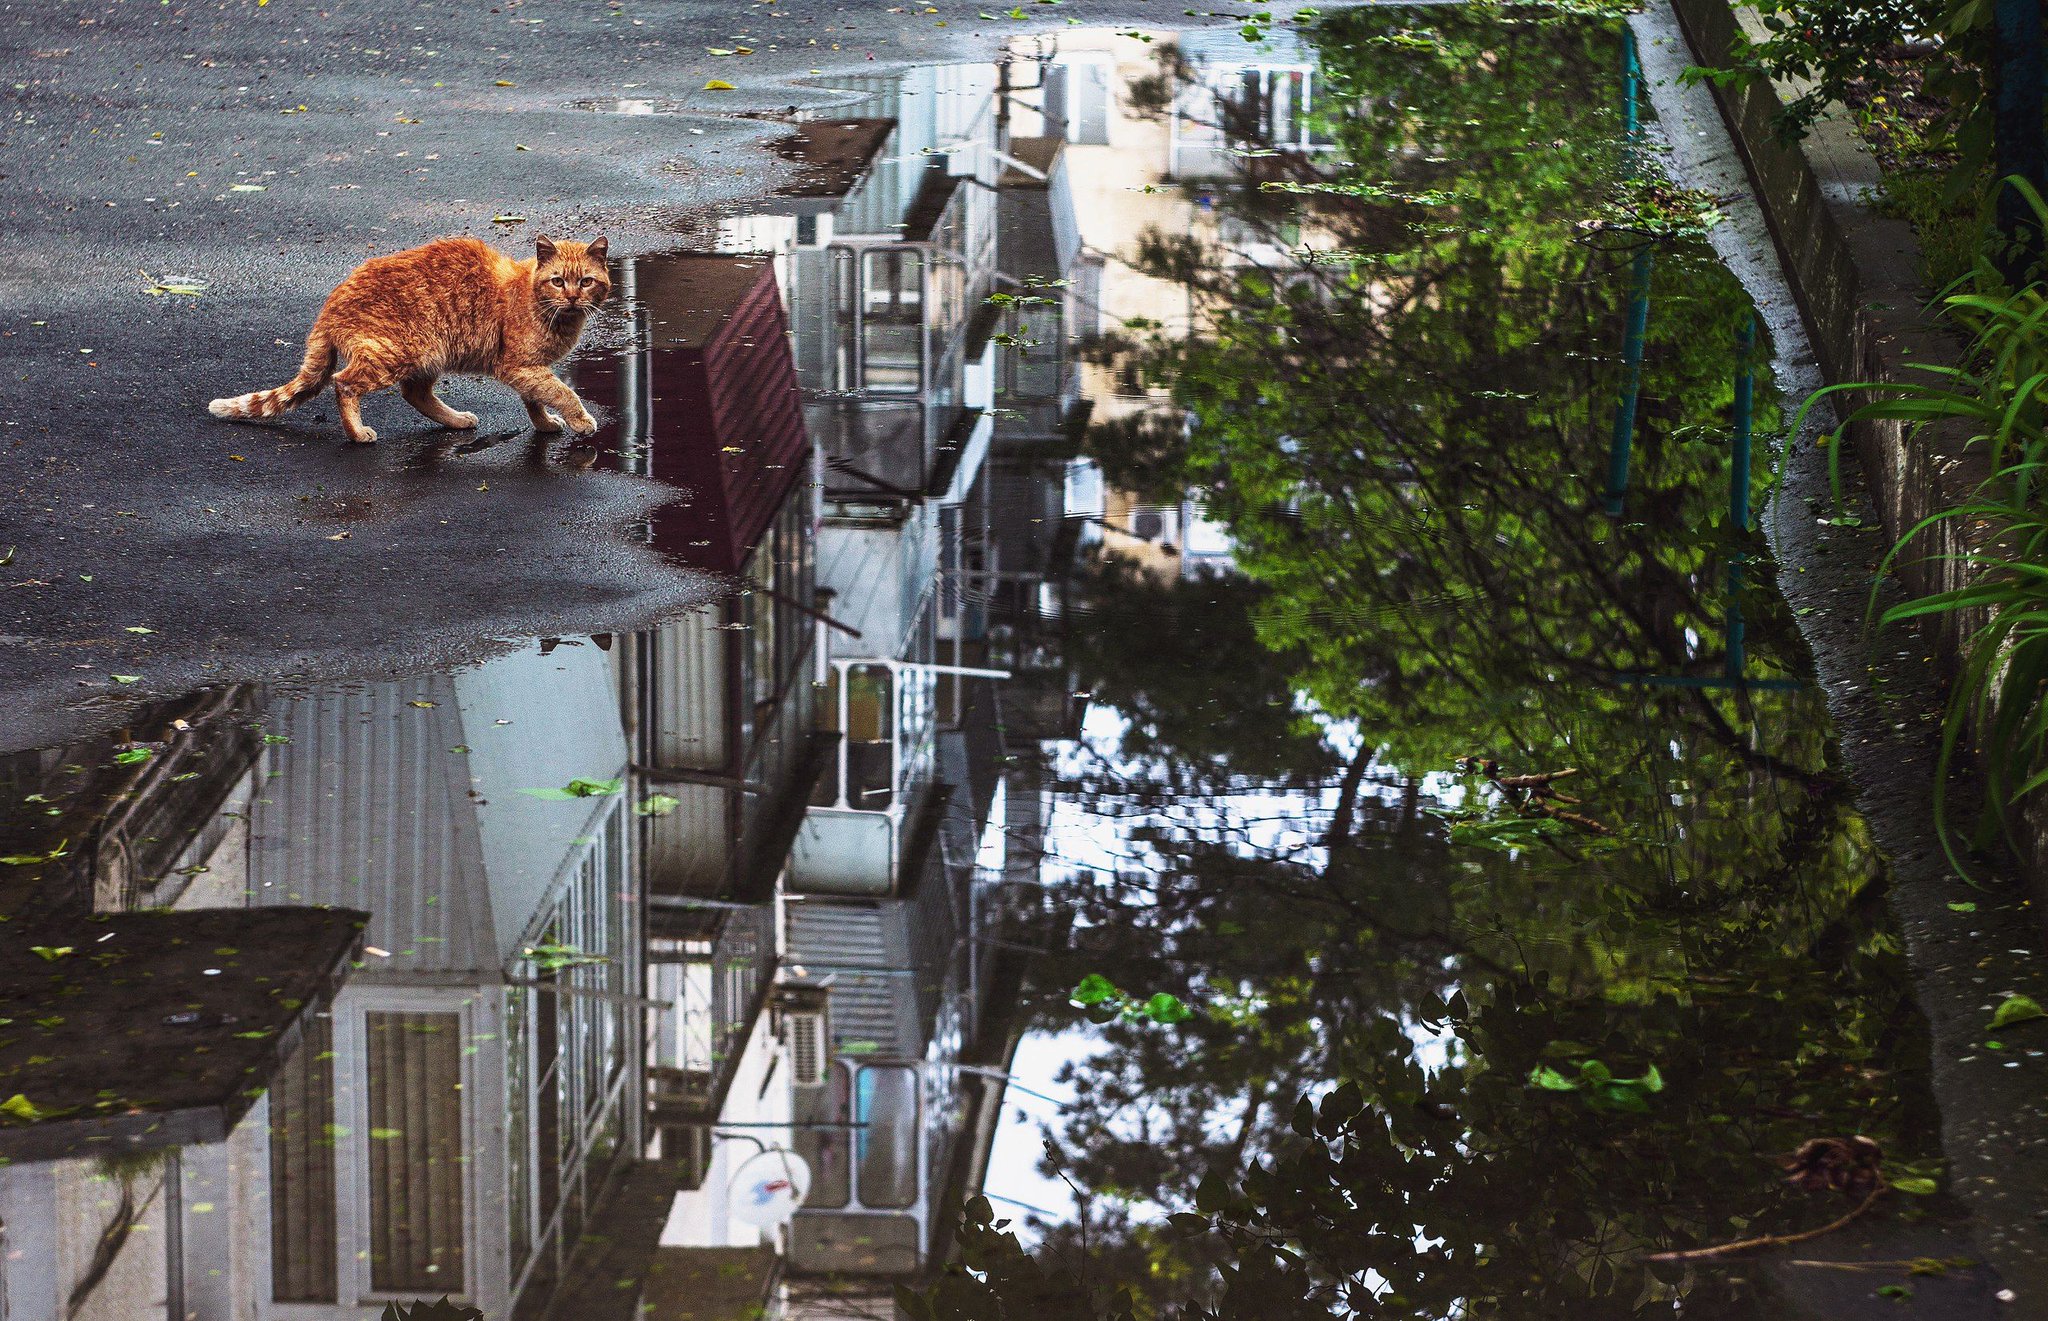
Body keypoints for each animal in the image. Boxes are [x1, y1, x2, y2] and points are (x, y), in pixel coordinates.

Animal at [209, 234, 606, 446]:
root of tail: (330, 303)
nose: (573, 297)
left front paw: (545, 423)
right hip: (399, 353)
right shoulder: (520, 365)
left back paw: (456, 421)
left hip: (429, 355)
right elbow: (563, 393)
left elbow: (537, 400)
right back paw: (357, 432)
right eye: (558, 281)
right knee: (344, 383)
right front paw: (580, 420)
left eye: (586, 281)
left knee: (415, 394)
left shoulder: (530, 369)